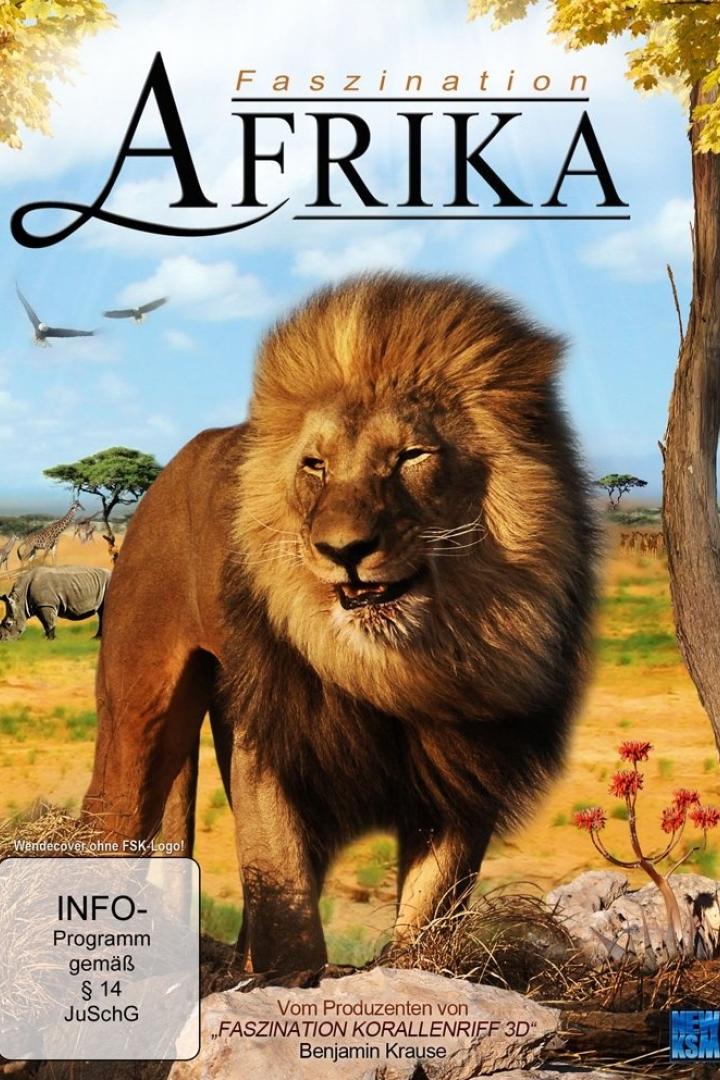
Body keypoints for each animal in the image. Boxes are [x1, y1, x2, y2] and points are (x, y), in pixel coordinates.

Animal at [82, 274, 598, 973]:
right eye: (315, 465)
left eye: (411, 455)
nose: (342, 549)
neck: (394, 668)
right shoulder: (268, 746)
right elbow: (285, 901)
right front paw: (292, 982)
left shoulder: (463, 769)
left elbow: (430, 909)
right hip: (137, 710)